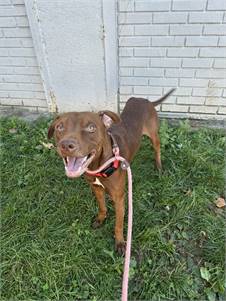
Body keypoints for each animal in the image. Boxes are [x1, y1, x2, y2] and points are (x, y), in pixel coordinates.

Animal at [47, 88, 175, 253]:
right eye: (60, 127)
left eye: (91, 127)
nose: (66, 145)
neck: (99, 165)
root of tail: (144, 100)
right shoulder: (96, 188)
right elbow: (102, 207)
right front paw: (101, 219)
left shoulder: (119, 199)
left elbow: (118, 225)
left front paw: (120, 243)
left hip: (154, 135)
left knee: (157, 148)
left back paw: (158, 166)